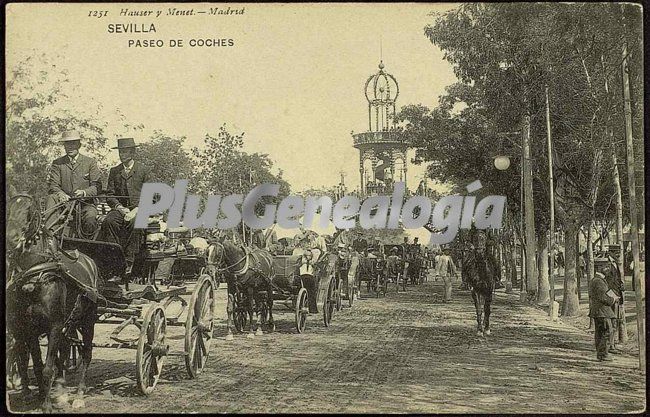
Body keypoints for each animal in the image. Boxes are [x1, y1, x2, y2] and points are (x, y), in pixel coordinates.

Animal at [6, 195, 98, 410]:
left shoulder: (54, 326)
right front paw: (41, 396)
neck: (35, 275)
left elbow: (47, 368)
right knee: (64, 350)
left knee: (86, 354)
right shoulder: (29, 328)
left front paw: (46, 405)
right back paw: (61, 389)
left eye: (30, 213)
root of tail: (89, 261)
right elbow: (38, 365)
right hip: (70, 322)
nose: (10, 238)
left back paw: (79, 395)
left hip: (88, 320)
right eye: (7, 209)